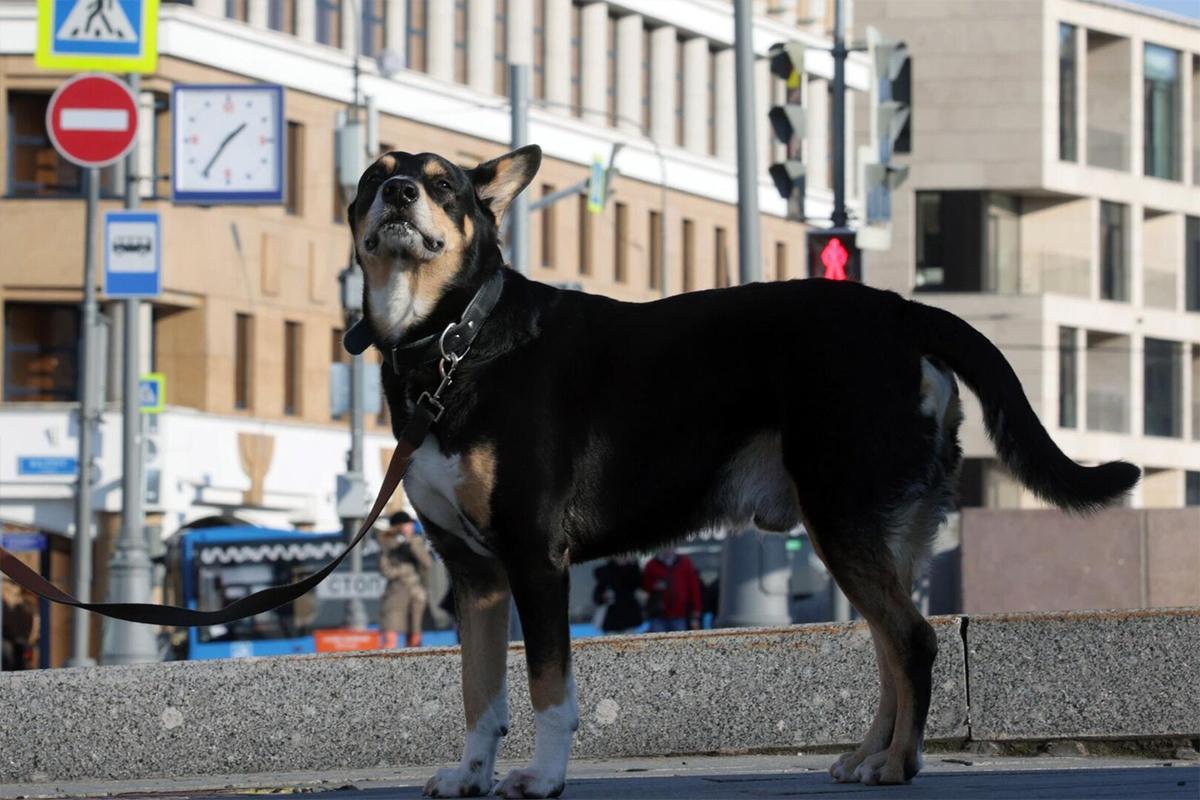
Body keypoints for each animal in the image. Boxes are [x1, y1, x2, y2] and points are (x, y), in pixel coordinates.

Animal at [343, 146, 1137, 796]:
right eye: (372, 177)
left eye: (443, 184)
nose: (401, 193)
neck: (453, 343)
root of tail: (902, 311)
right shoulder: (473, 574)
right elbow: (479, 692)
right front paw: (471, 774)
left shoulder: (536, 561)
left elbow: (547, 689)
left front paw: (540, 777)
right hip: (879, 532)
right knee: (892, 646)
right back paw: (878, 756)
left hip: (842, 516)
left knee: (912, 640)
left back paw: (893, 766)